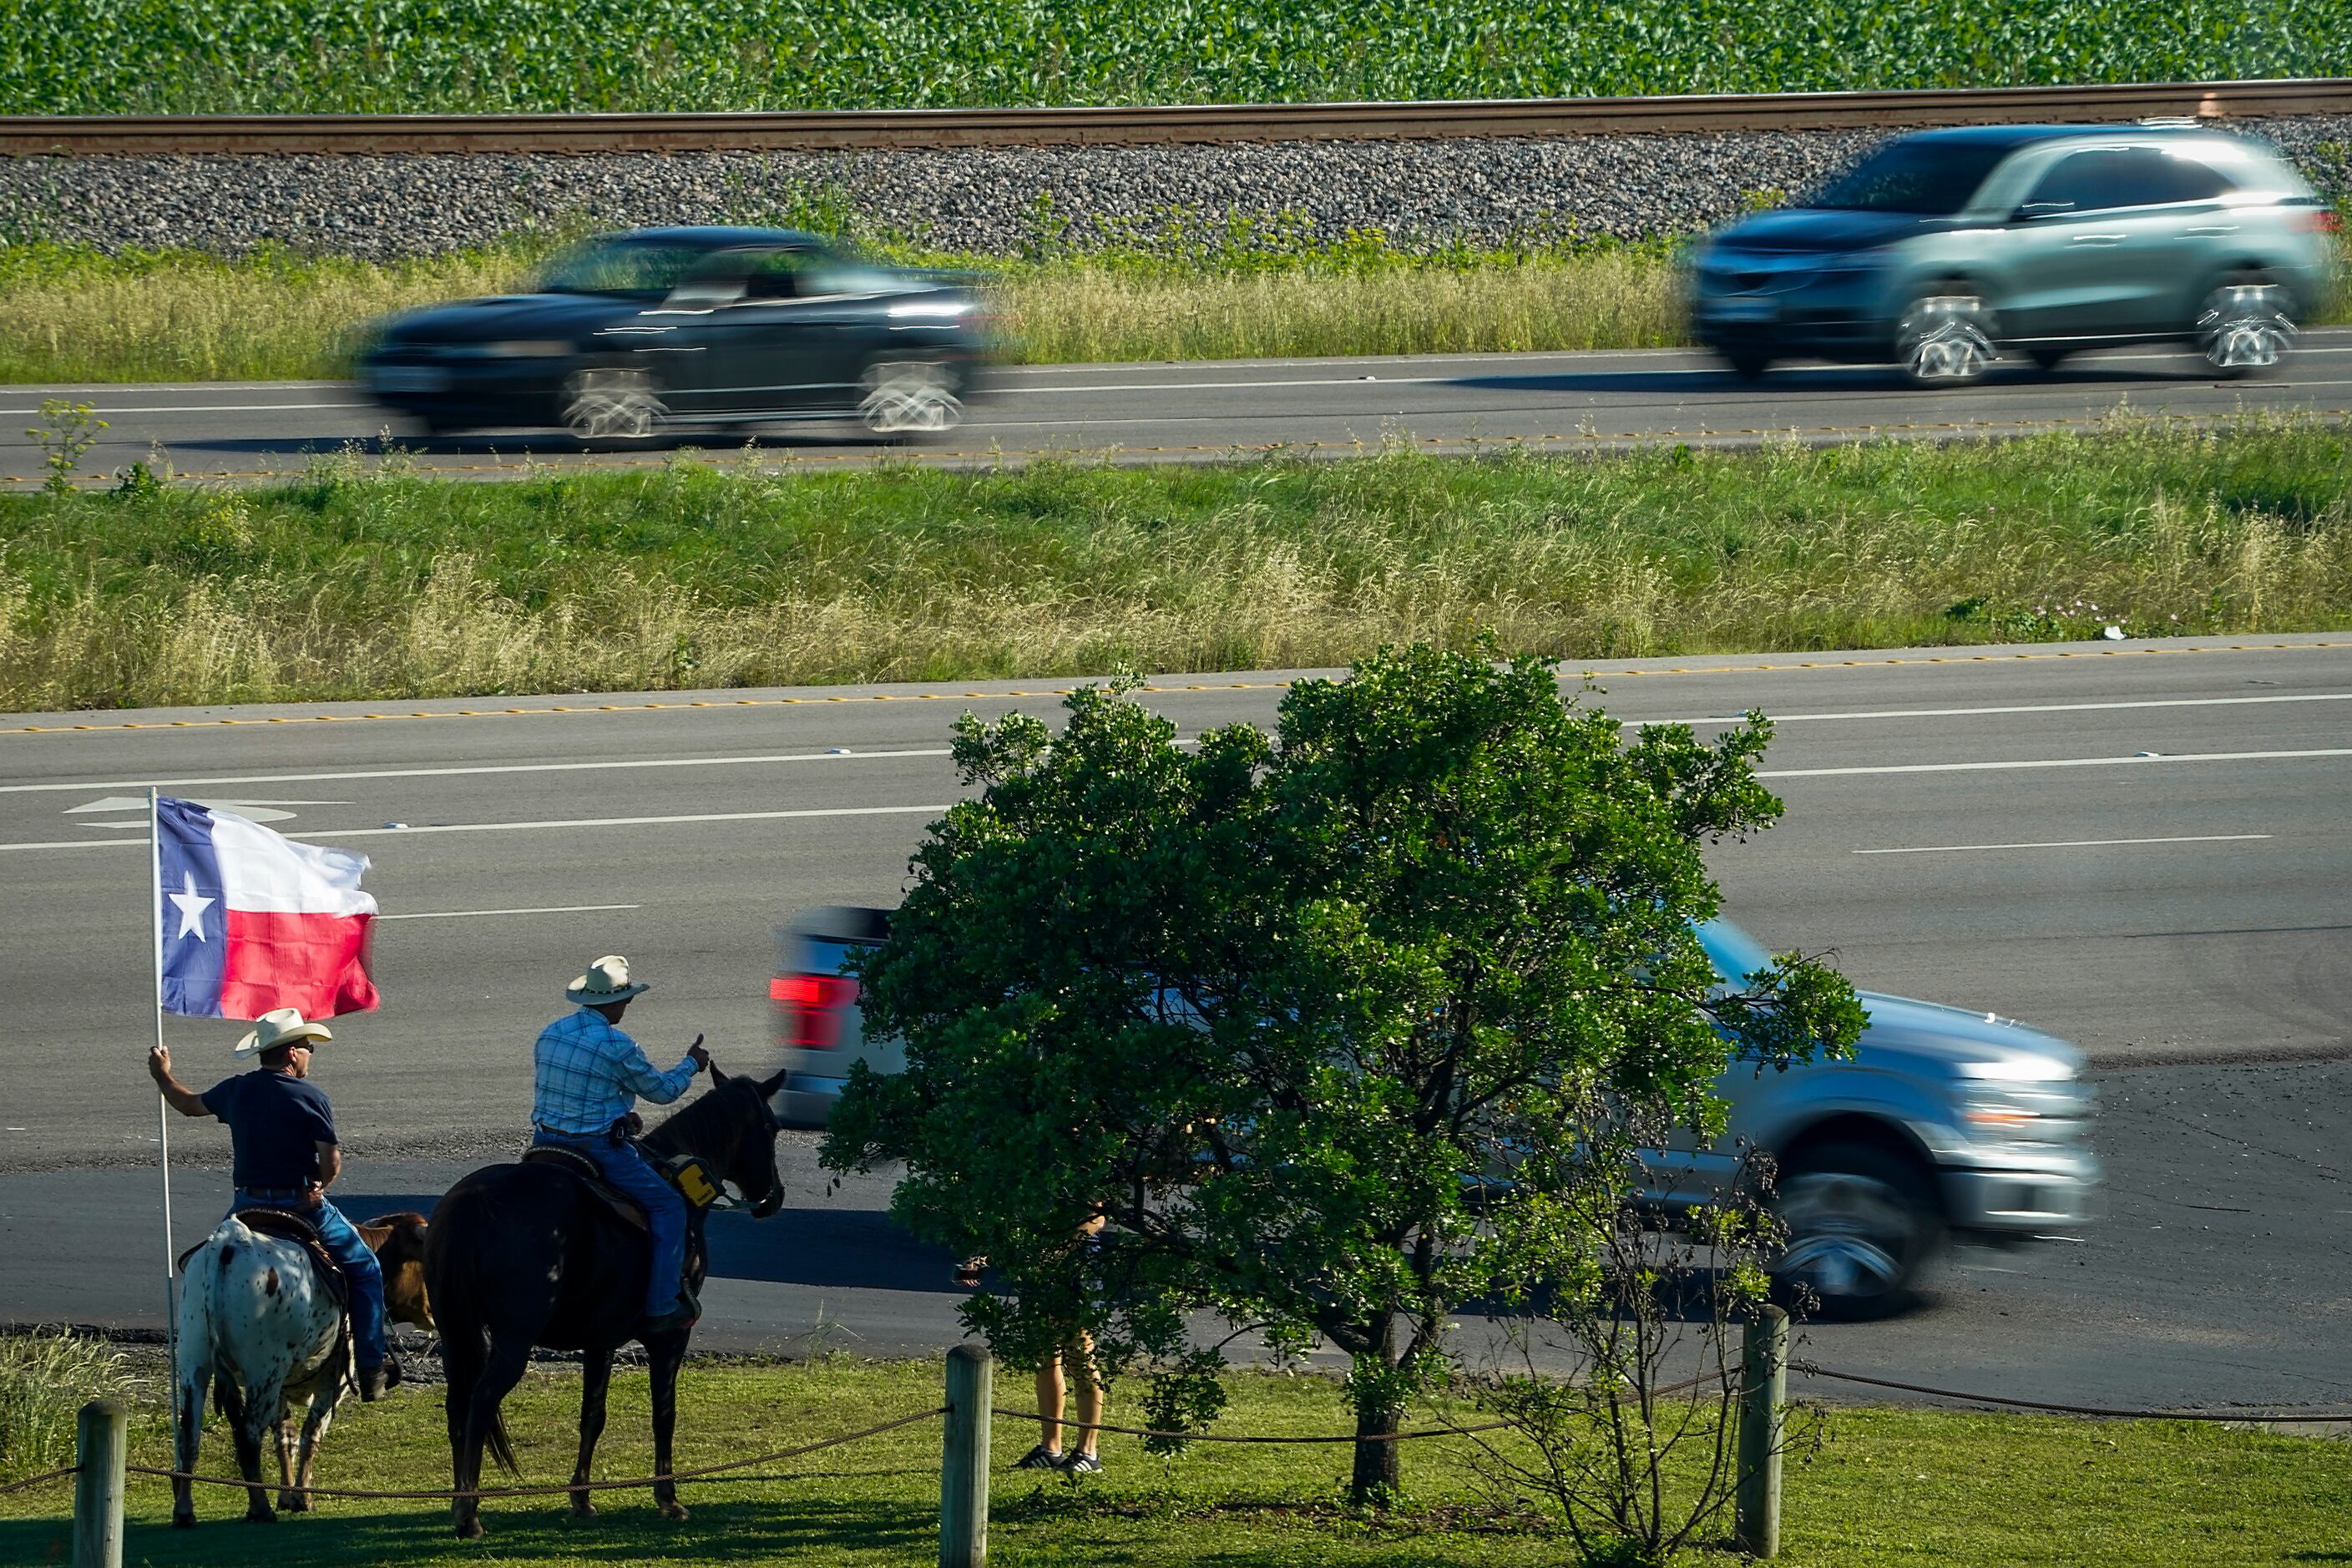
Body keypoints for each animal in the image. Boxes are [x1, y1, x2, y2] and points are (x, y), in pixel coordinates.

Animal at [425, 1071, 790, 1542]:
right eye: (773, 1127)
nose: (774, 1197)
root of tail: (474, 1201)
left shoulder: (600, 1341)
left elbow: (592, 1415)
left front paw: (581, 1499)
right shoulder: (670, 1338)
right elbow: (664, 1413)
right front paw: (668, 1498)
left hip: (454, 1334)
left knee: (458, 1405)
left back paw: (460, 1502)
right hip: (512, 1341)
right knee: (482, 1400)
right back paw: (469, 1513)